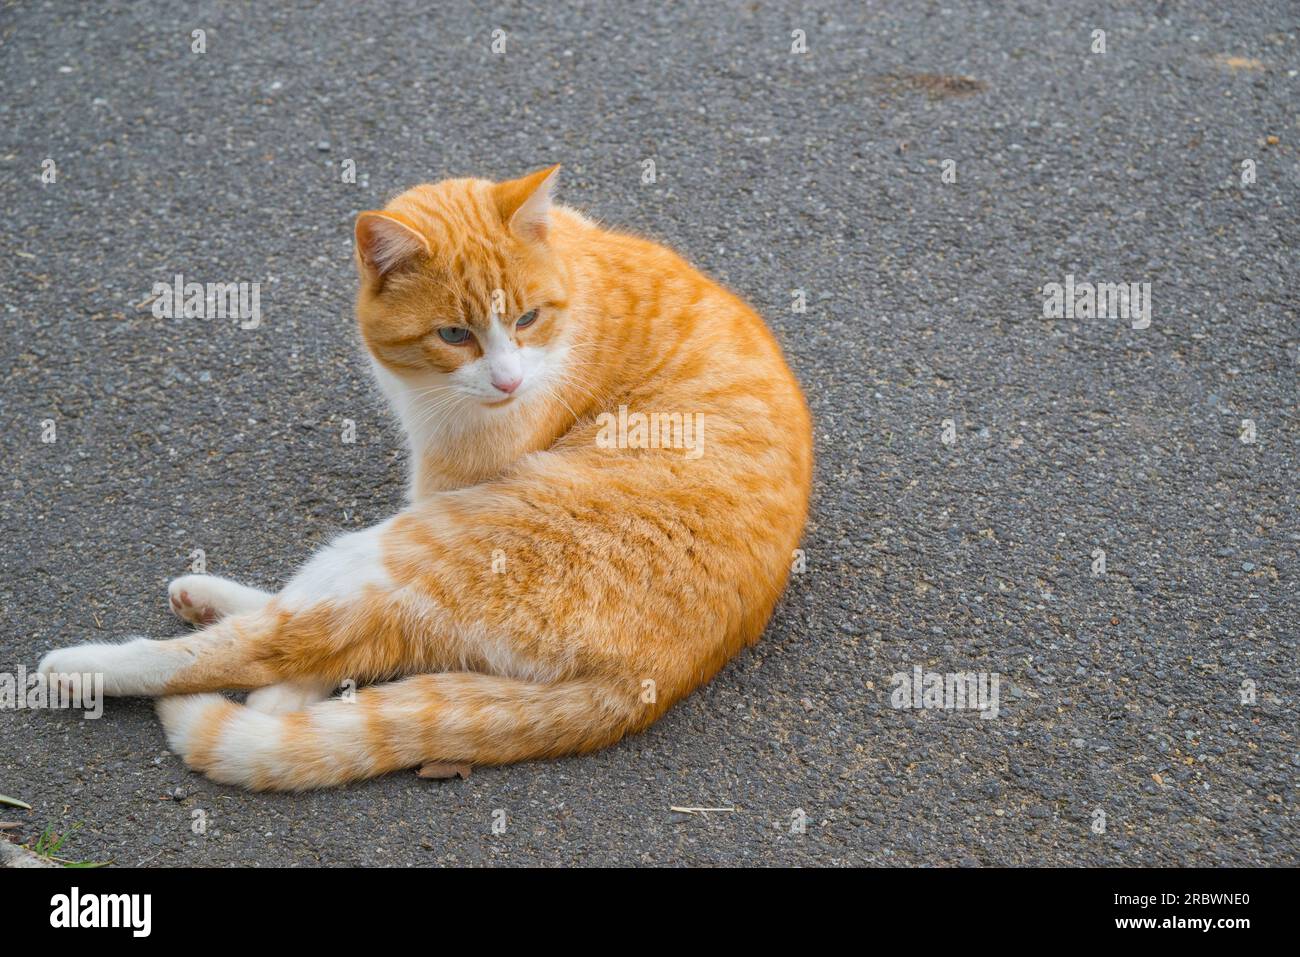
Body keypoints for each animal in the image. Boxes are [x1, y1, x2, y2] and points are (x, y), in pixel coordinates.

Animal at [38, 166, 811, 790]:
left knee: (282, 643)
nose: (509, 381)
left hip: (417, 543)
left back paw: (89, 668)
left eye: (527, 318)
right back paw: (211, 604)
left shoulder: (443, 487)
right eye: (453, 335)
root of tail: (655, 679)